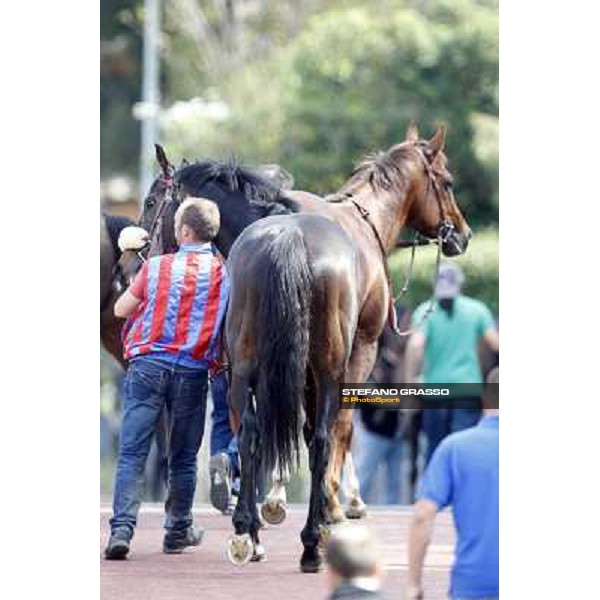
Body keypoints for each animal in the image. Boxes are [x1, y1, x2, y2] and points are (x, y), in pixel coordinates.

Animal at [223, 123, 472, 572]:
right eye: (447, 181)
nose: (462, 234)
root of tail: (290, 236)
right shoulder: (361, 353)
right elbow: (340, 428)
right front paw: (333, 510)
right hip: (329, 365)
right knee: (323, 436)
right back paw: (310, 542)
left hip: (246, 365)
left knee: (250, 432)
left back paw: (246, 532)